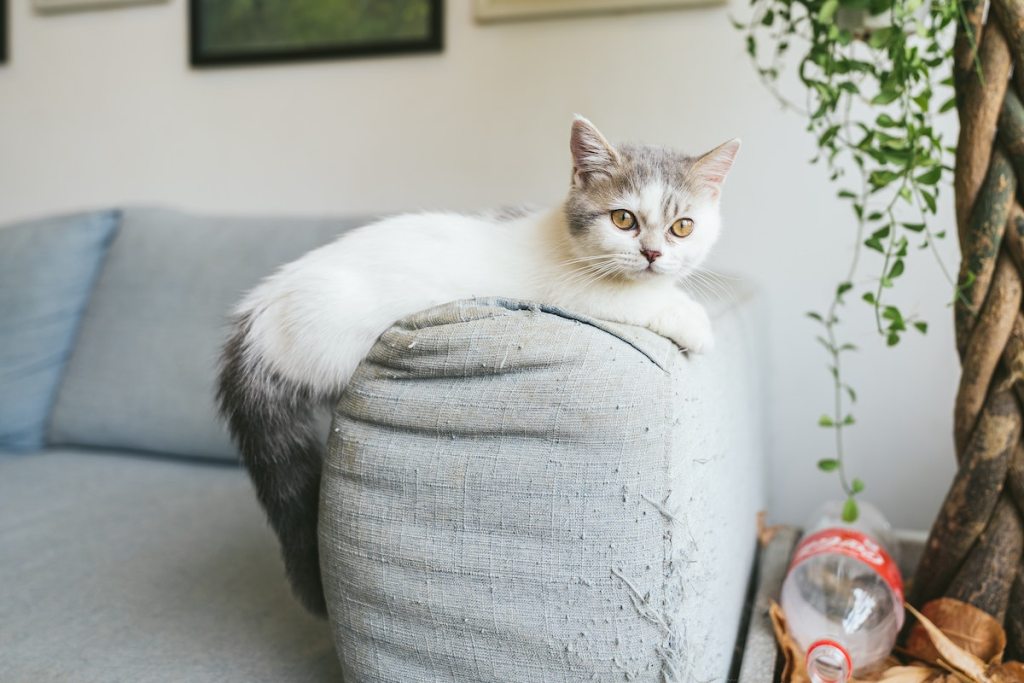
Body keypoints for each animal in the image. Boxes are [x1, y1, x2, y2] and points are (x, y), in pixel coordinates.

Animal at [220, 116, 741, 614]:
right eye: (623, 218)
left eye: (682, 227)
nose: (653, 254)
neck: (562, 240)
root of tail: (259, 312)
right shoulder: (574, 291)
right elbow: (632, 299)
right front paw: (693, 320)